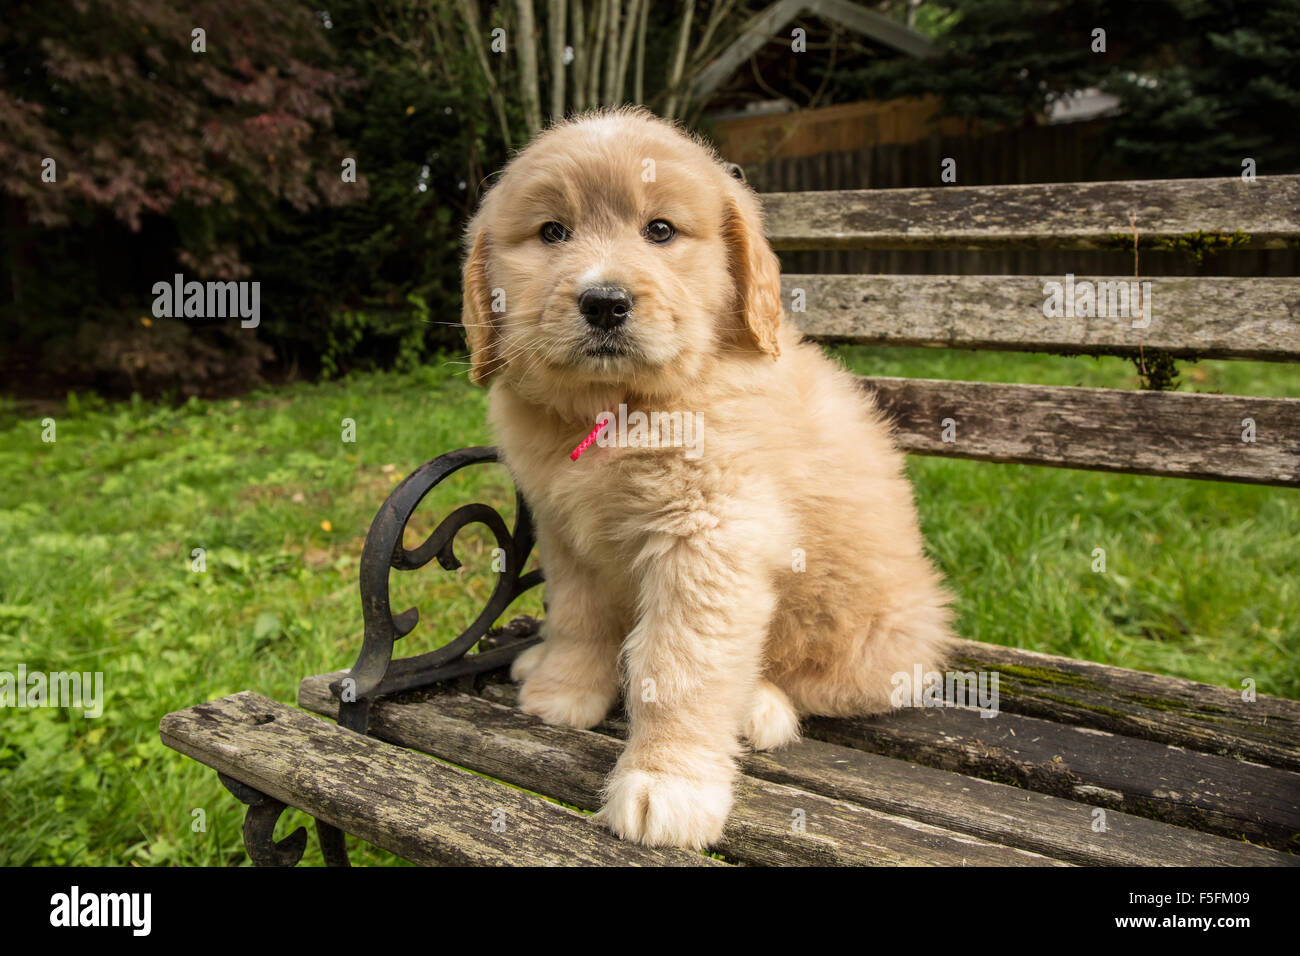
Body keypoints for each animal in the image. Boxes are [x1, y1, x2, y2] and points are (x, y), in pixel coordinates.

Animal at [462, 108, 951, 848]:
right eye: (552, 233)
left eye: (661, 231)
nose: (604, 302)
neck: (620, 409)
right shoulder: (564, 531)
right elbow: (577, 617)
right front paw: (564, 689)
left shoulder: (710, 536)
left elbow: (679, 664)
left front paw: (667, 783)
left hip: (873, 632)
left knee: (817, 682)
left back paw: (761, 708)